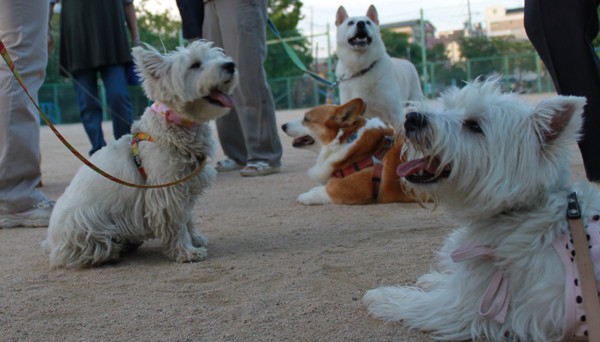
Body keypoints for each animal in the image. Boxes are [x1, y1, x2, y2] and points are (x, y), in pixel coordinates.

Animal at [42, 40, 238, 268]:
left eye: (216, 56)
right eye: (195, 65)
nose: (230, 65)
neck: (176, 126)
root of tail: (50, 243)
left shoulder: (184, 187)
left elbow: (188, 217)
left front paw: (196, 239)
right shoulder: (166, 192)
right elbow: (177, 224)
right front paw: (187, 251)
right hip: (84, 222)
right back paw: (110, 252)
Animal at [360, 79, 600, 340]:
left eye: (474, 126)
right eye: (448, 106)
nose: (412, 117)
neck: (518, 210)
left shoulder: (470, 305)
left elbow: (419, 303)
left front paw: (381, 296)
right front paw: (431, 278)